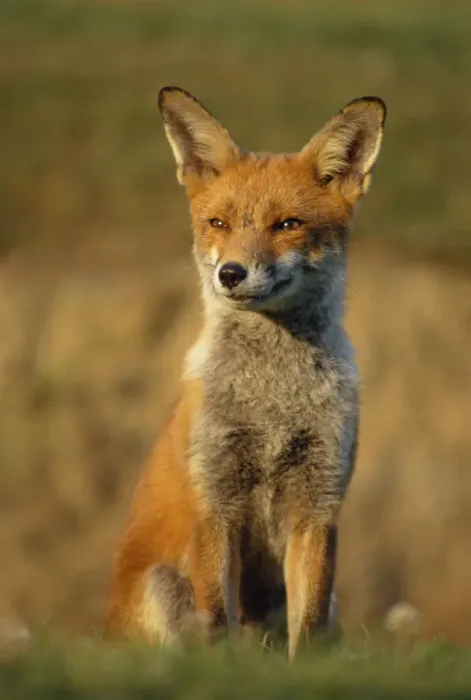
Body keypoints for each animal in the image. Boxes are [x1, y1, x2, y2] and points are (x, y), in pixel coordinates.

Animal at [105, 86, 386, 660]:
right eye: (219, 224)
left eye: (287, 225)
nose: (229, 273)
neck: (272, 405)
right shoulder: (215, 501)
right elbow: (216, 618)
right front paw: (218, 671)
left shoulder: (319, 504)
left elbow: (309, 624)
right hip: (165, 586)